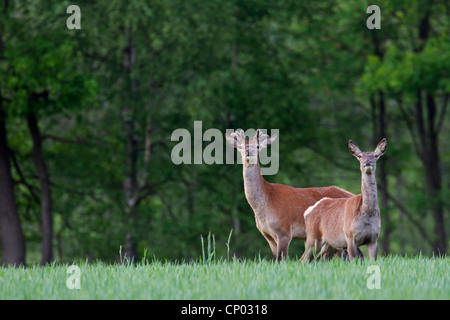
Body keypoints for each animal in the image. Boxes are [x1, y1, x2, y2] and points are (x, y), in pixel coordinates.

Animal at [225, 129, 356, 262]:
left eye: (257, 146)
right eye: (240, 146)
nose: (248, 152)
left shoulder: (284, 230)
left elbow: (281, 259)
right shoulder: (268, 236)